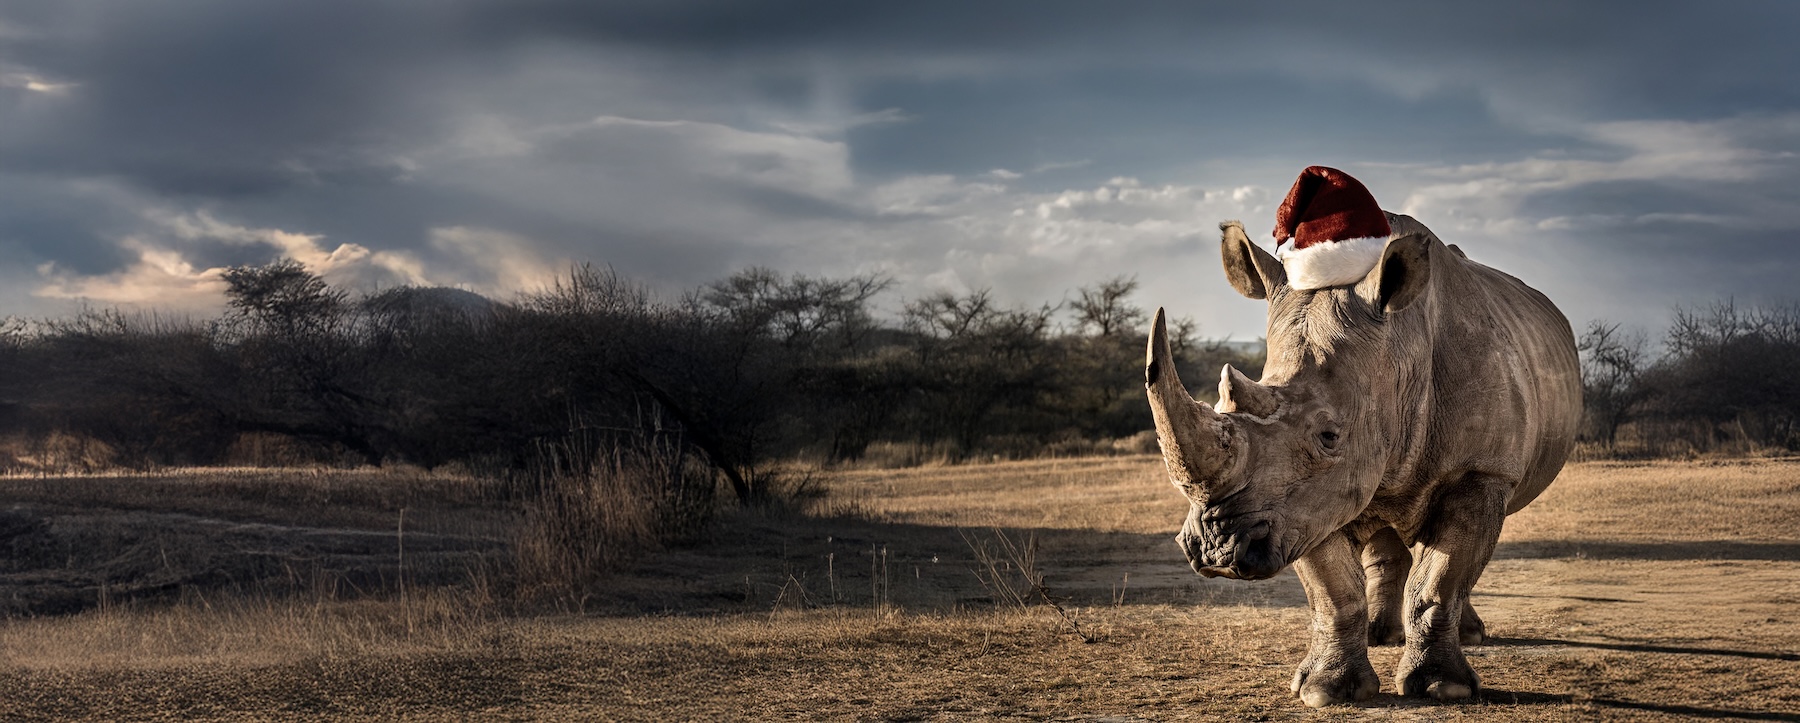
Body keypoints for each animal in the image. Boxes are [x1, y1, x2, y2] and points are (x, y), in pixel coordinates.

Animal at [1145, 202, 1581, 705]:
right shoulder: (1303, 503)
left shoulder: (1482, 471)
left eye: (1329, 435)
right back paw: (1380, 634)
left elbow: (1441, 579)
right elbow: (1332, 590)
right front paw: (1327, 691)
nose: (1215, 548)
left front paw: (1444, 689)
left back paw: (1467, 635)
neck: (1400, 354)